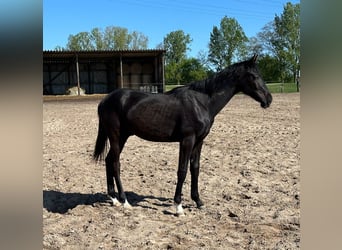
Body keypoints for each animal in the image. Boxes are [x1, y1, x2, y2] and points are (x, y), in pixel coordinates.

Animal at [93, 54, 272, 215]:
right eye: (254, 76)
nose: (268, 99)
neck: (202, 102)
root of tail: (105, 100)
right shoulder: (187, 140)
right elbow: (182, 170)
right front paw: (178, 206)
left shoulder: (199, 141)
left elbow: (195, 168)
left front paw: (198, 201)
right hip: (116, 136)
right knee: (115, 164)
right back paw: (125, 201)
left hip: (122, 137)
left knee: (108, 160)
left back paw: (114, 199)